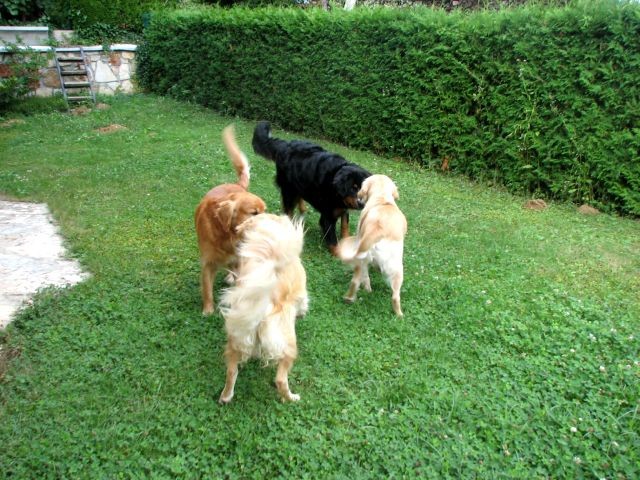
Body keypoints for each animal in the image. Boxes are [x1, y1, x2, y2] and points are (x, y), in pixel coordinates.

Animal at [194, 125, 266, 316]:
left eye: (265, 211)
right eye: (254, 213)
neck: (226, 235)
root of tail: (237, 185)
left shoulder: (239, 258)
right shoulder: (208, 262)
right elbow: (207, 289)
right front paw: (208, 310)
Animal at [219, 212, 308, 404]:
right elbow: (304, 303)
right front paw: (302, 314)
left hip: (236, 338)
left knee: (231, 371)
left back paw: (226, 396)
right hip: (288, 344)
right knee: (281, 379)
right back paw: (292, 398)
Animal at [251, 121, 370, 255]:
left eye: (363, 189)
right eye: (353, 188)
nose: (361, 204)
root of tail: (285, 144)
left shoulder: (343, 208)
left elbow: (345, 226)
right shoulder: (327, 217)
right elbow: (333, 241)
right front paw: (339, 254)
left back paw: (302, 207)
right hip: (289, 188)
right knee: (288, 208)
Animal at [338, 174, 408, 316]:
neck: (382, 199)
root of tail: (376, 232)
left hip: (363, 261)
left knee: (357, 281)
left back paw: (351, 297)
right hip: (397, 269)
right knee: (395, 296)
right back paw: (400, 315)